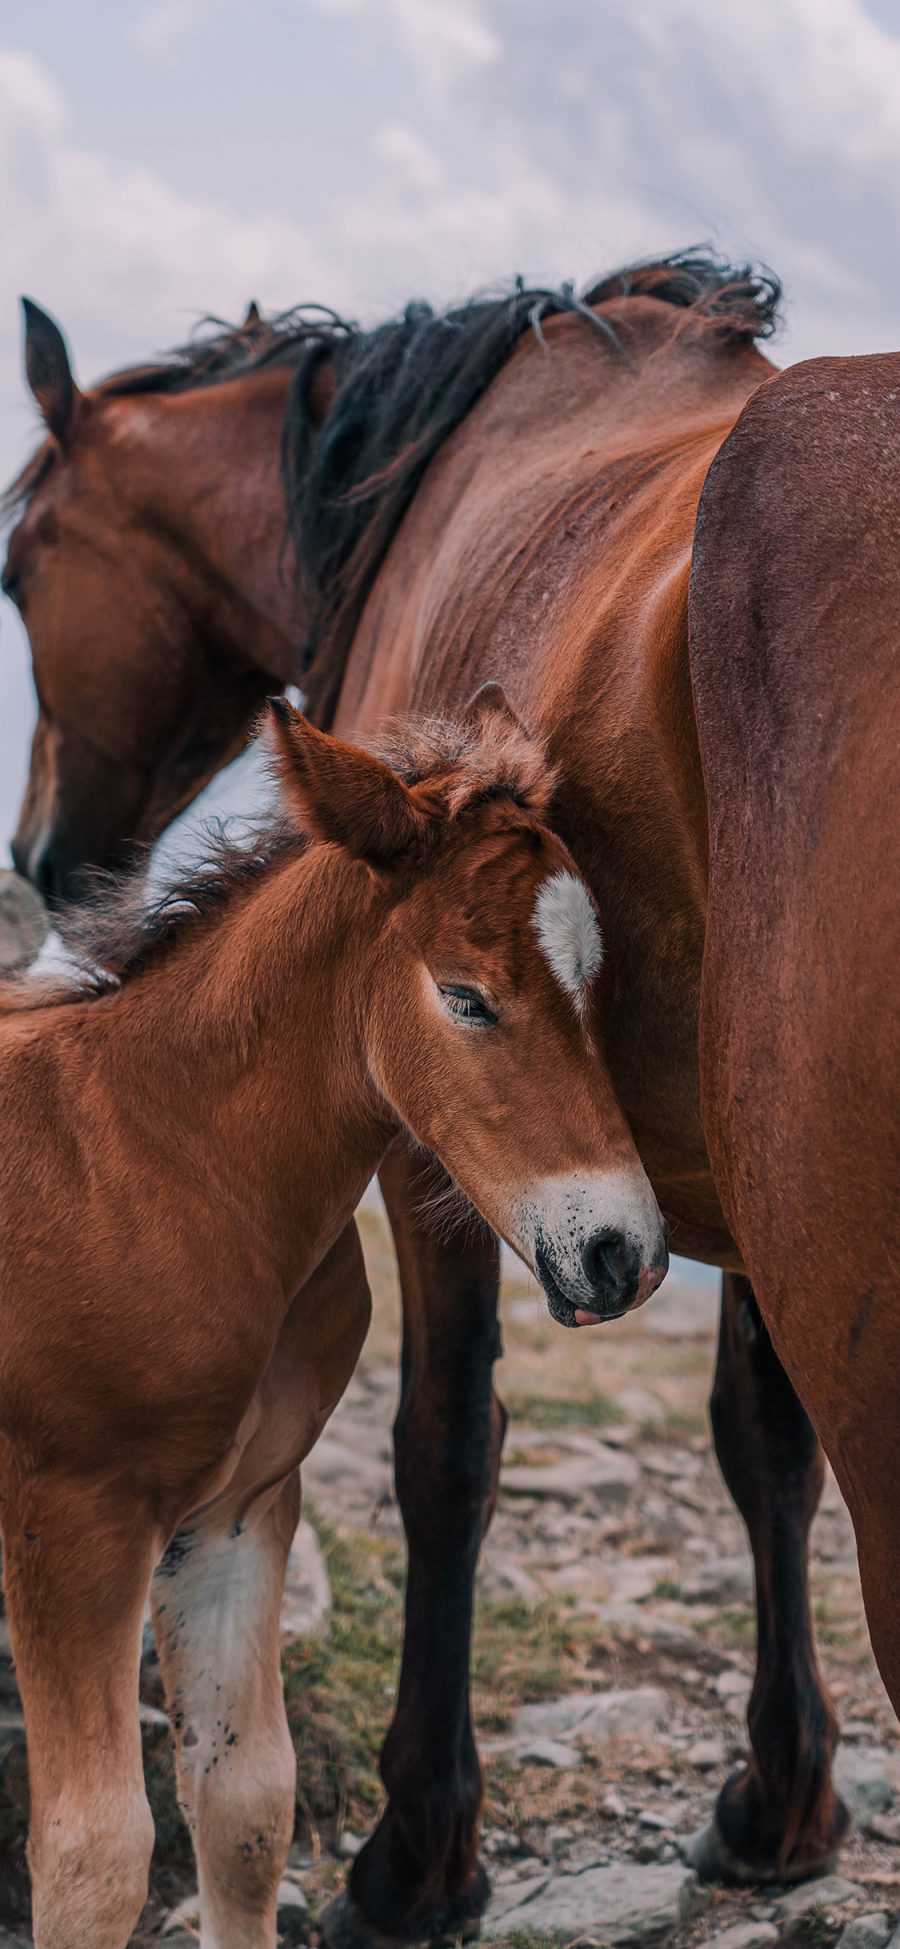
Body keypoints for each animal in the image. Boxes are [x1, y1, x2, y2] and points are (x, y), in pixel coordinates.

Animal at [3, 263, 896, 1949]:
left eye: (20, 574)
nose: (45, 859)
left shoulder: (440, 1174)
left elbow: (443, 1449)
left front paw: (416, 1857)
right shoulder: (741, 1199)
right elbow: (760, 1445)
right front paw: (781, 1802)